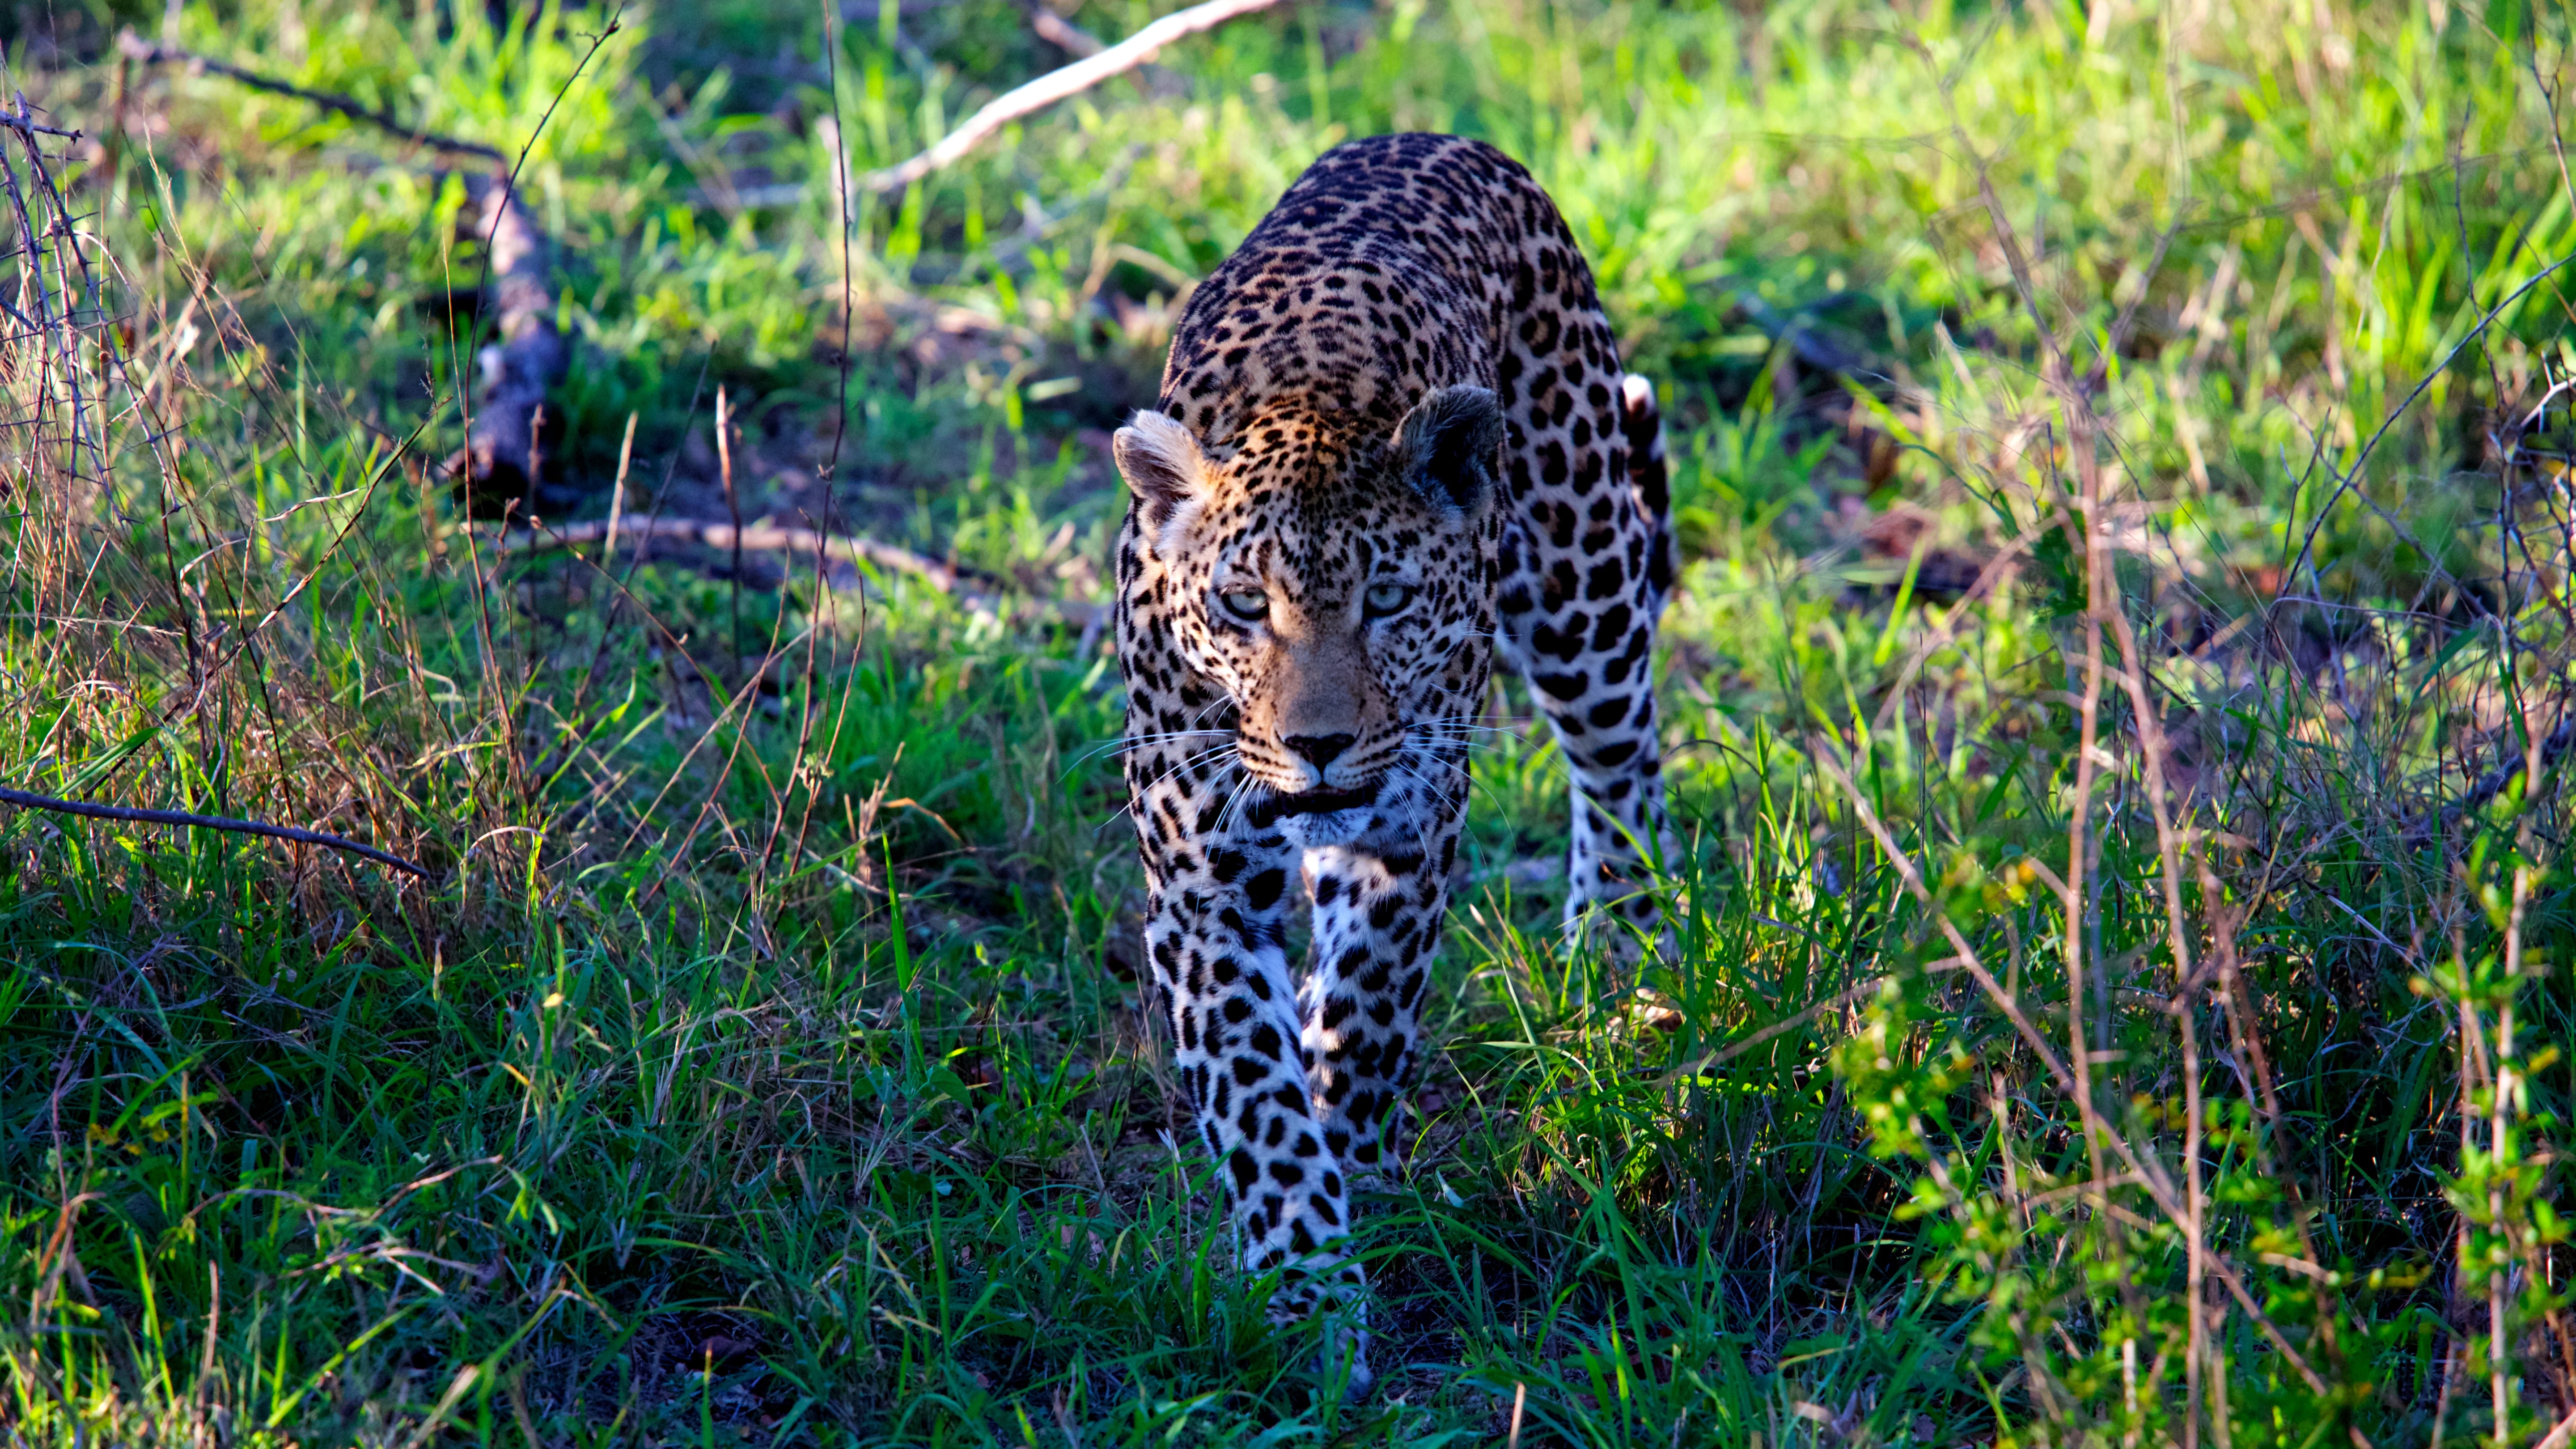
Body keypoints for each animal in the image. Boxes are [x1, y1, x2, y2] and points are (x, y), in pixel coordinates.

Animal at [1113, 132, 1679, 1392]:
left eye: (1388, 600)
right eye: (1242, 604)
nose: (1318, 745)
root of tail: (1432, 139)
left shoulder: (1407, 827)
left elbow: (1367, 1011)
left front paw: (1357, 1177)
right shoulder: (1199, 880)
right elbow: (1256, 1085)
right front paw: (1306, 1288)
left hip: (1584, 584)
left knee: (1621, 769)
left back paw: (1617, 964)